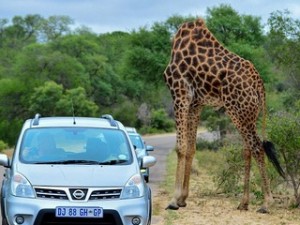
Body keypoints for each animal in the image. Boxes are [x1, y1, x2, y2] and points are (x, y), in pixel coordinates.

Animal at [163, 18, 284, 214]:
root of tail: (259, 83)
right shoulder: (196, 103)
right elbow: (191, 148)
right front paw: (182, 199)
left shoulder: (179, 92)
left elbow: (181, 147)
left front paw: (174, 200)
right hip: (248, 114)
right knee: (248, 149)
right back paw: (243, 203)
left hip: (238, 111)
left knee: (257, 147)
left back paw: (266, 203)